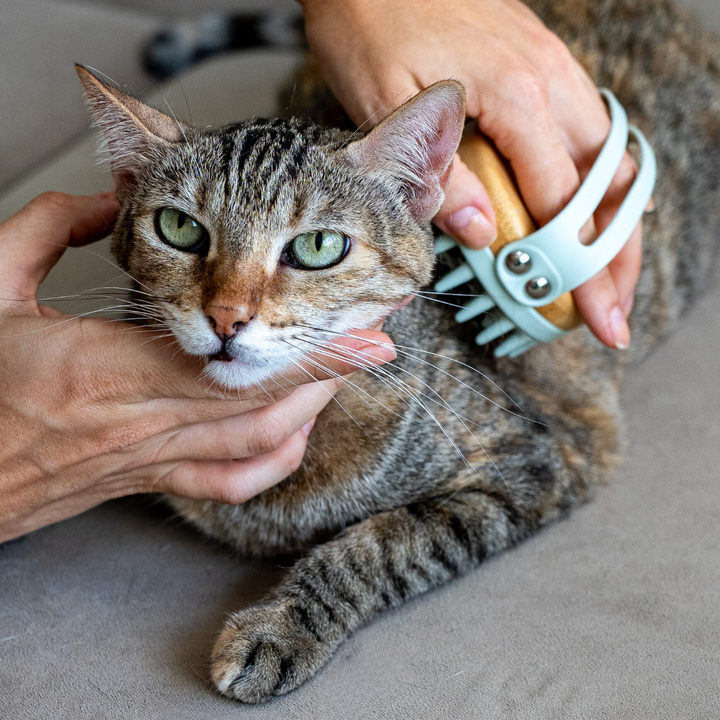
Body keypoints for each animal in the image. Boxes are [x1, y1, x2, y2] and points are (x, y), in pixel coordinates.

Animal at [74, 0, 720, 704]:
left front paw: (280, 627)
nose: (226, 316)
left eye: (318, 247)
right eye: (180, 228)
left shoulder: (542, 457)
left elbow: (379, 545)